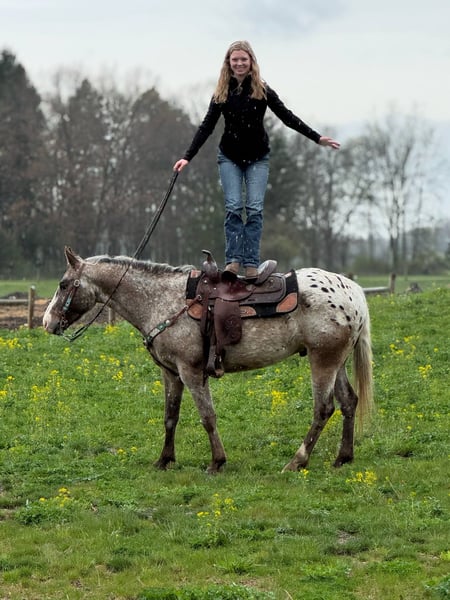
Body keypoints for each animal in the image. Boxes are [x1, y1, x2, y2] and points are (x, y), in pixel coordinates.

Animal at [43, 247, 373, 473]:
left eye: (63, 284)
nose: (48, 322)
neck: (163, 300)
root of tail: (353, 292)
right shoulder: (170, 373)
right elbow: (170, 416)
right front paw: (164, 460)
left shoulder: (191, 371)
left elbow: (207, 416)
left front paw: (217, 462)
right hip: (337, 362)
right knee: (349, 402)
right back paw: (343, 458)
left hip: (323, 360)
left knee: (323, 408)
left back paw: (297, 461)